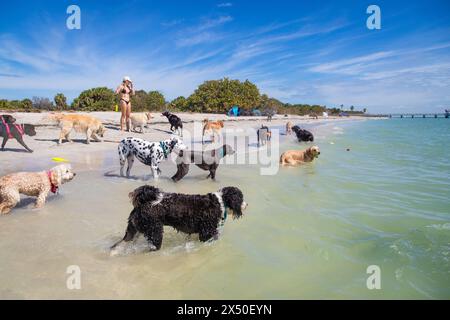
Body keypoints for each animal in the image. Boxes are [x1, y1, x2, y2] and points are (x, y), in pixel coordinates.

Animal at [110, 185, 248, 252]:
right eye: (241, 197)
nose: (247, 204)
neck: (220, 202)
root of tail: (142, 204)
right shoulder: (206, 233)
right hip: (155, 232)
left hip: (133, 230)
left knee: (120, 243)